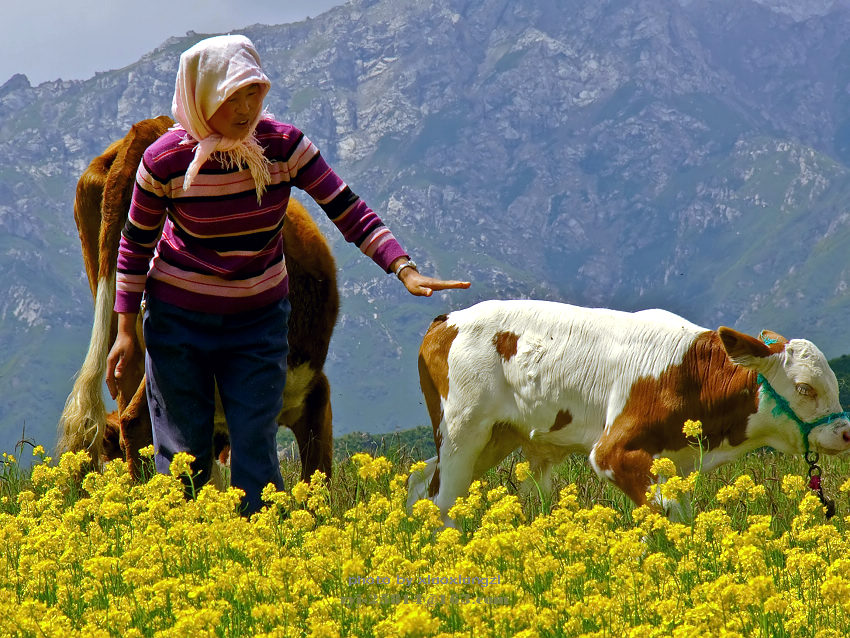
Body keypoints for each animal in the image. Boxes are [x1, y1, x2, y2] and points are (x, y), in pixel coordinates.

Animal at [410, 302, 848, 524]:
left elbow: (676, 513)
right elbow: (661, 513)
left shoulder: (673, 462)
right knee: (443, 501)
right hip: (463, 430)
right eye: (805, 388)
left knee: (419, 480)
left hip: (495, 437)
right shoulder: (611, 452)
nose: (844, 433)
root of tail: (447, 319)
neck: (689, 372)